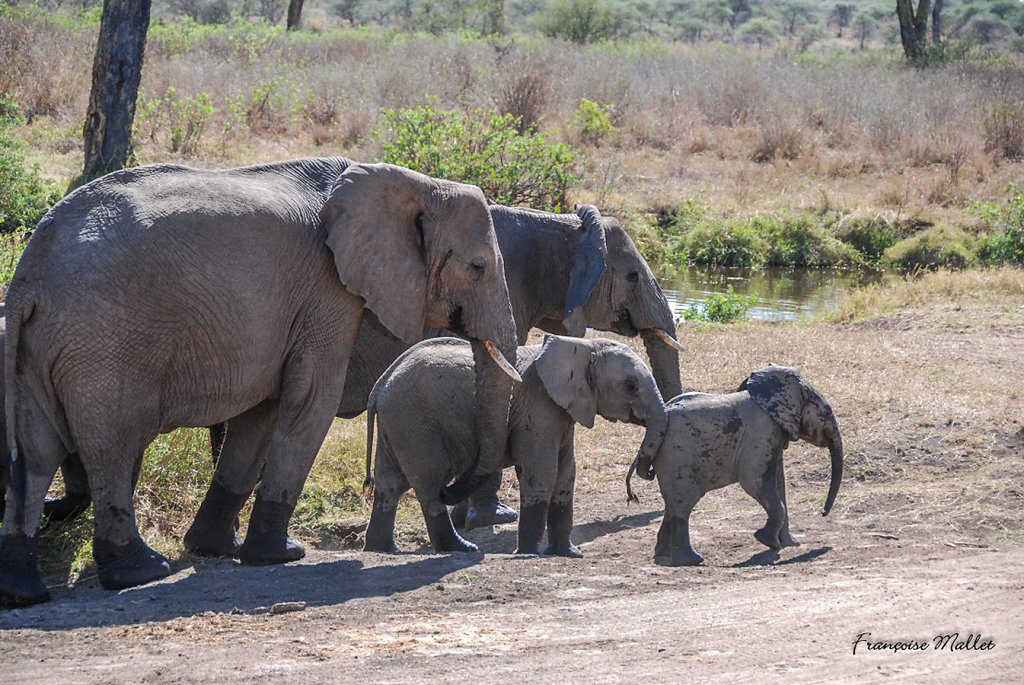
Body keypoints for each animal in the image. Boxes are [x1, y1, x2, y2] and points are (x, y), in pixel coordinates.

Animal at [0, 156, 520, 602]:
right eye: (478, 267)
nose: (452, 493)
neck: (408, 180)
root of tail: (29, 275)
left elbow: (261, 414)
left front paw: (217, 549)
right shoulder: (326, 289)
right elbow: (312, 399)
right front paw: (281, 555)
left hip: (36, 345)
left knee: (35, 453)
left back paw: (23, 590)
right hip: (103, 346)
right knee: (112, 447)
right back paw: (141, 572)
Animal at [364, 335, 667, 557]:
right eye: (631, 386)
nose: (636, 492)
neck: (584, 346)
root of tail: (380, 385)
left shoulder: (561, 411)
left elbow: (566, 473)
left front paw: (569, 554)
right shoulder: (538, 406)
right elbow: (541, 473)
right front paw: (530, 554)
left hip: (398, 425)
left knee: (390, 485)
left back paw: (383, 550)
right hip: (414, 425)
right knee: (428, 486)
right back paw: (461, 547)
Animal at [626, 366, 843, 565]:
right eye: (827, 412)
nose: (822, 513)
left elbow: (779, 484)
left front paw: (790, 544)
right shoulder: (761, 431)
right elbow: (753, 481)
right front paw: (768, 542)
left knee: (672, 506)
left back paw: (662, 557)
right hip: (676, 456)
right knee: (684, 503)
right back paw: (691, 560)